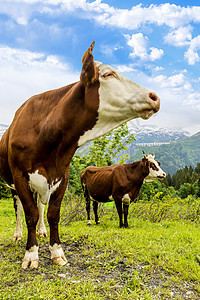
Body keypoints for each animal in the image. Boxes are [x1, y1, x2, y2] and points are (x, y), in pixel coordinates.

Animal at [0, 41, 160, 268]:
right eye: (108, 74)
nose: (154, 97)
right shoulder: (20, 175)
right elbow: (29, 213)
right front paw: (31, 254)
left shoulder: (62, 176)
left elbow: (52, 213)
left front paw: (56, 251)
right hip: (12, 184)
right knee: (19, 208)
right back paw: (18, 234)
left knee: (40, 205)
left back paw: (41, 232)